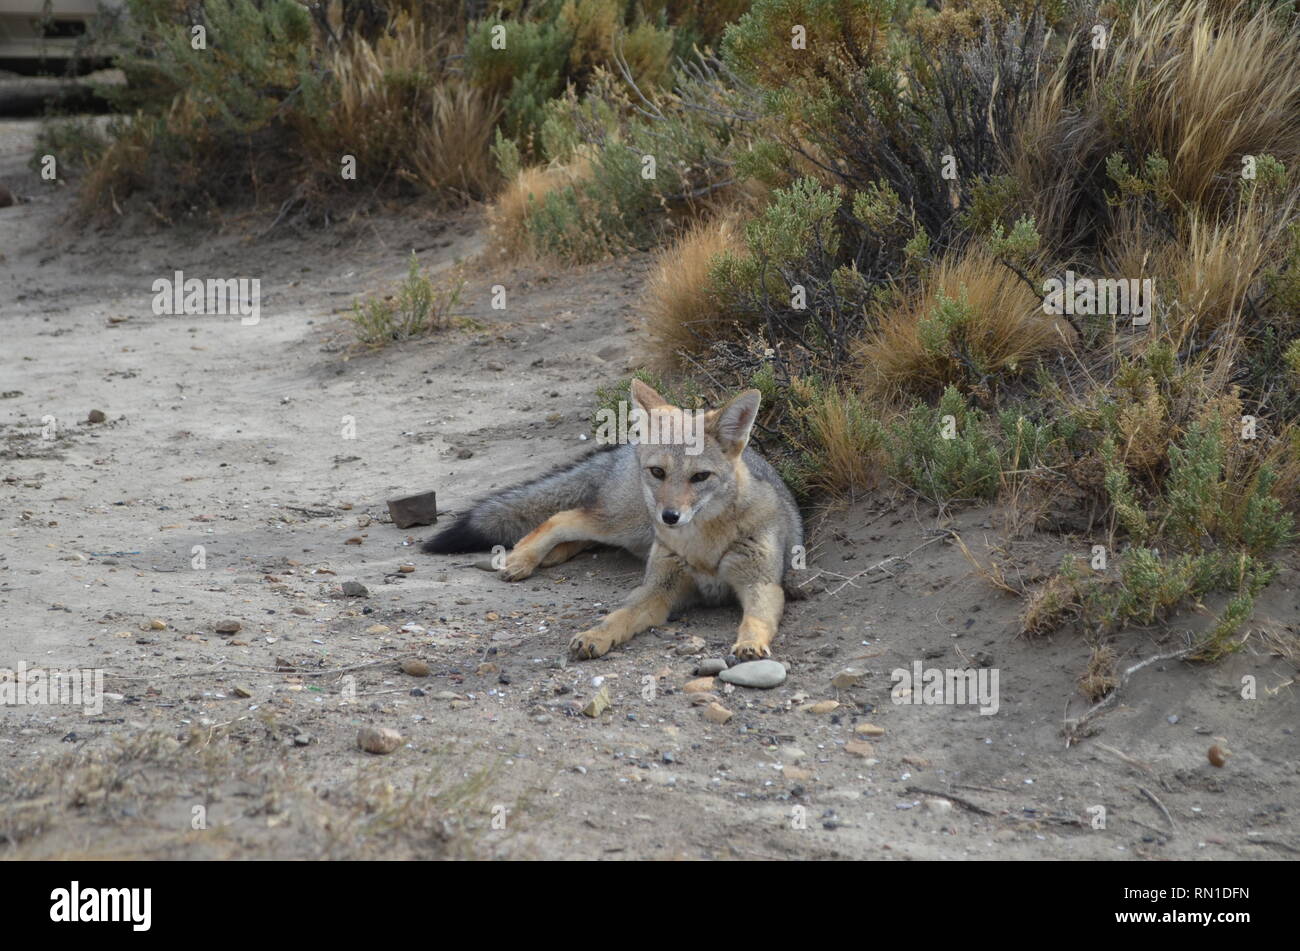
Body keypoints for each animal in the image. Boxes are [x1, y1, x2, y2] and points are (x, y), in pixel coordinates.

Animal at [422, 380, 804, 660]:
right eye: (658, 472)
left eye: (700, 477)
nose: (670, 517)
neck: (703, 546)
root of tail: (623, 448)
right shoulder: (657, 588)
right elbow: (620, 616)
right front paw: (596, 635)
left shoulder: (761, 585)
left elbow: (755, 619)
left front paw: (750, 645)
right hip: (626, 525)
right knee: (564, 517)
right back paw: (523, 558)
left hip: (631, 532)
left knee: (578, 531)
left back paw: (546, 557)